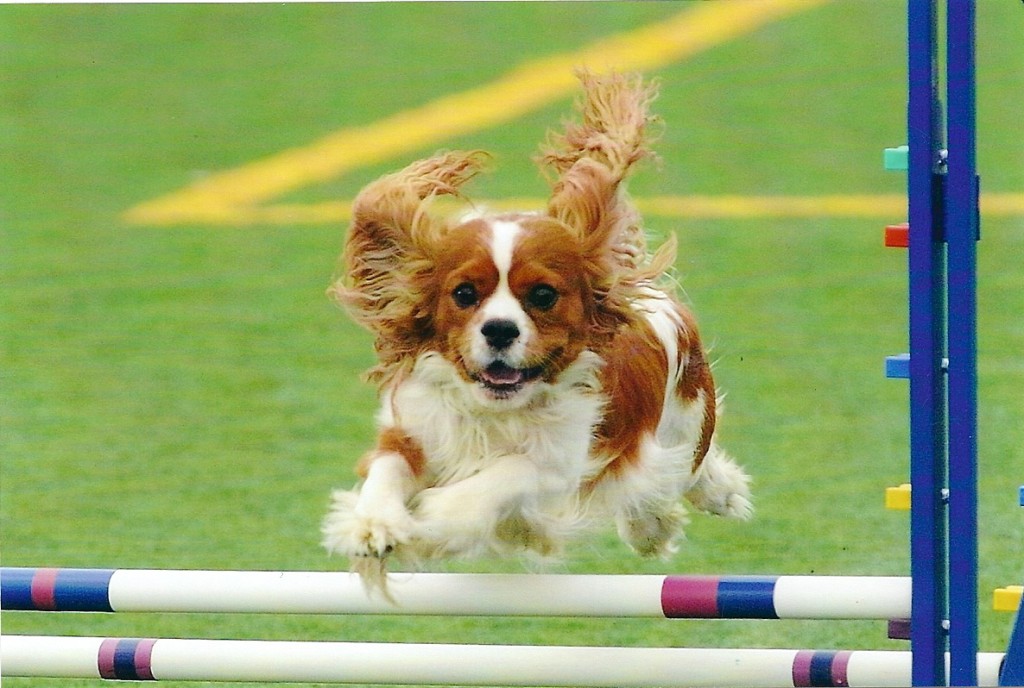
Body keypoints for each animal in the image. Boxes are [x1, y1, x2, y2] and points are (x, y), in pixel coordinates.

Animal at [321, 69, 753, 589]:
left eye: (543, 295)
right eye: (464, 293)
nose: (499, 330)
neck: (497, 412)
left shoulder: (561, 462)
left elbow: (507, 474)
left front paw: (436, 516)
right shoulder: (414, 430)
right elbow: (386, 469)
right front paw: (374, 525)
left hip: (684, 423)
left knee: (678, 473)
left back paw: (695, 506)